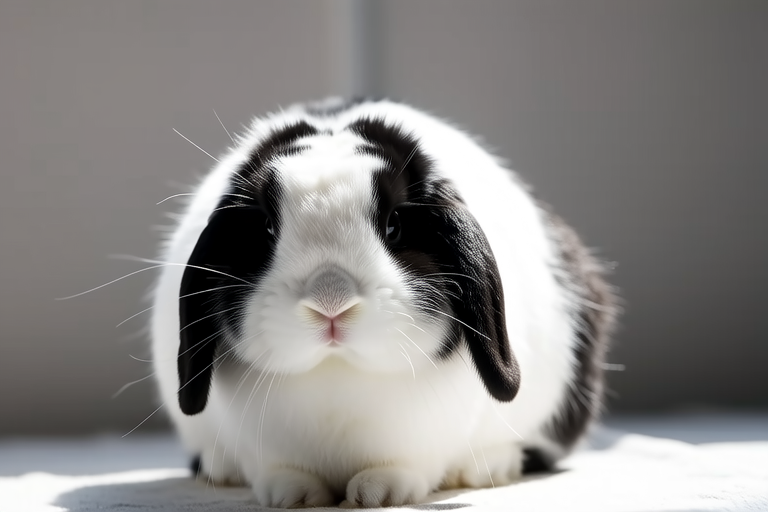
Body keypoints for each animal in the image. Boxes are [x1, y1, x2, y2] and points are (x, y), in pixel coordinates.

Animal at [150, 97, 617, 508]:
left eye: (393, 226)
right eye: (266, 227)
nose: (331, 300)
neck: (337, 374)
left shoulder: (425, 439)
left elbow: (404, 467)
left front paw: (379, 493)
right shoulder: (263, 445)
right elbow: (281, 470)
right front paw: (293, 496)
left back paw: (488, 467)